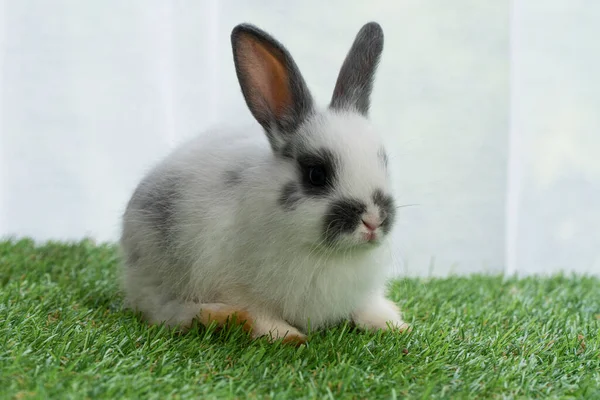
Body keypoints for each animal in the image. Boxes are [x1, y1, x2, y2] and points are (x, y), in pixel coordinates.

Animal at [120, 21, 412, 344]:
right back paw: (217, 317)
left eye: (383, 161)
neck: (327, 254)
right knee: (160, 308)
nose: (373, 221)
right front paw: (289, 337)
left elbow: (367, 306)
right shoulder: (235, 286)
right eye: (316, 174)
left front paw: (394, 325)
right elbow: (259, 313)